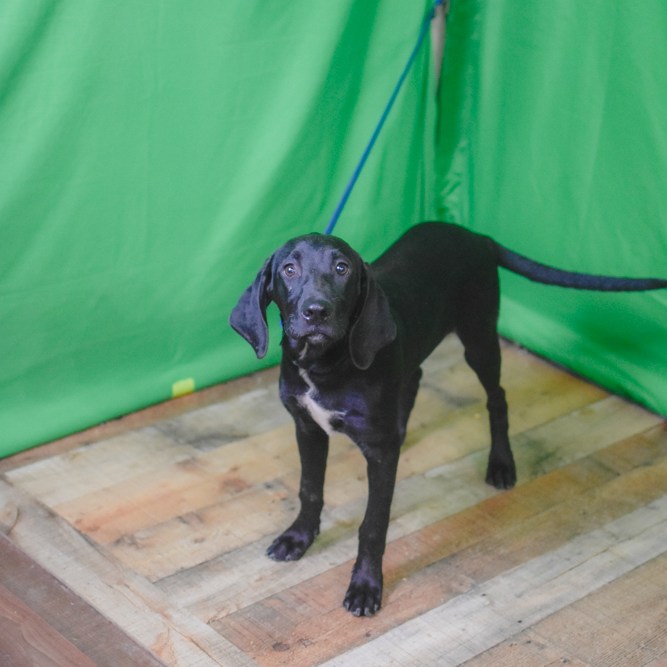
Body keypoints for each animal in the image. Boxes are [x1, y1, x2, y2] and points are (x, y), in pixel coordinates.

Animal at [230, 221, 666, 616]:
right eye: (289, 269)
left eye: (342, 268)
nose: (316, 311)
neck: (324, 366)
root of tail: (477, 236)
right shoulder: (307, 428)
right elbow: (309, 489)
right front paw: (299, 537)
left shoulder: (378, 453)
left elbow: (373, 524)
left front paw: (366, 585)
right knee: (415, 377)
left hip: (480, 337)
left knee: (497, 399)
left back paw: (501, 464)